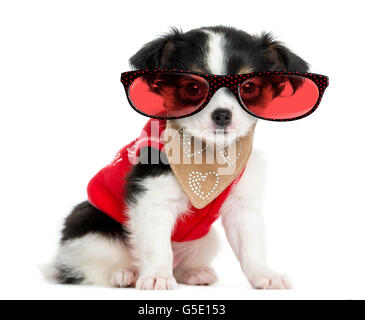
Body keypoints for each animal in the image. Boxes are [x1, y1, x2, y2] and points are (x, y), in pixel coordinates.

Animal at [51, 26, 308, 288]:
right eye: (192, 88)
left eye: (249, 88)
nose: (222, 115)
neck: (210, 156)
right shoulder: (152, 199)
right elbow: (157, 246)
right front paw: (157, 275)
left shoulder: (242, 206)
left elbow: (251, 245)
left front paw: (264, 275)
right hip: (91, 228)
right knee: (90, 269)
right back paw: (123, 274)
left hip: (205, 239)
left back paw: (194, 273)